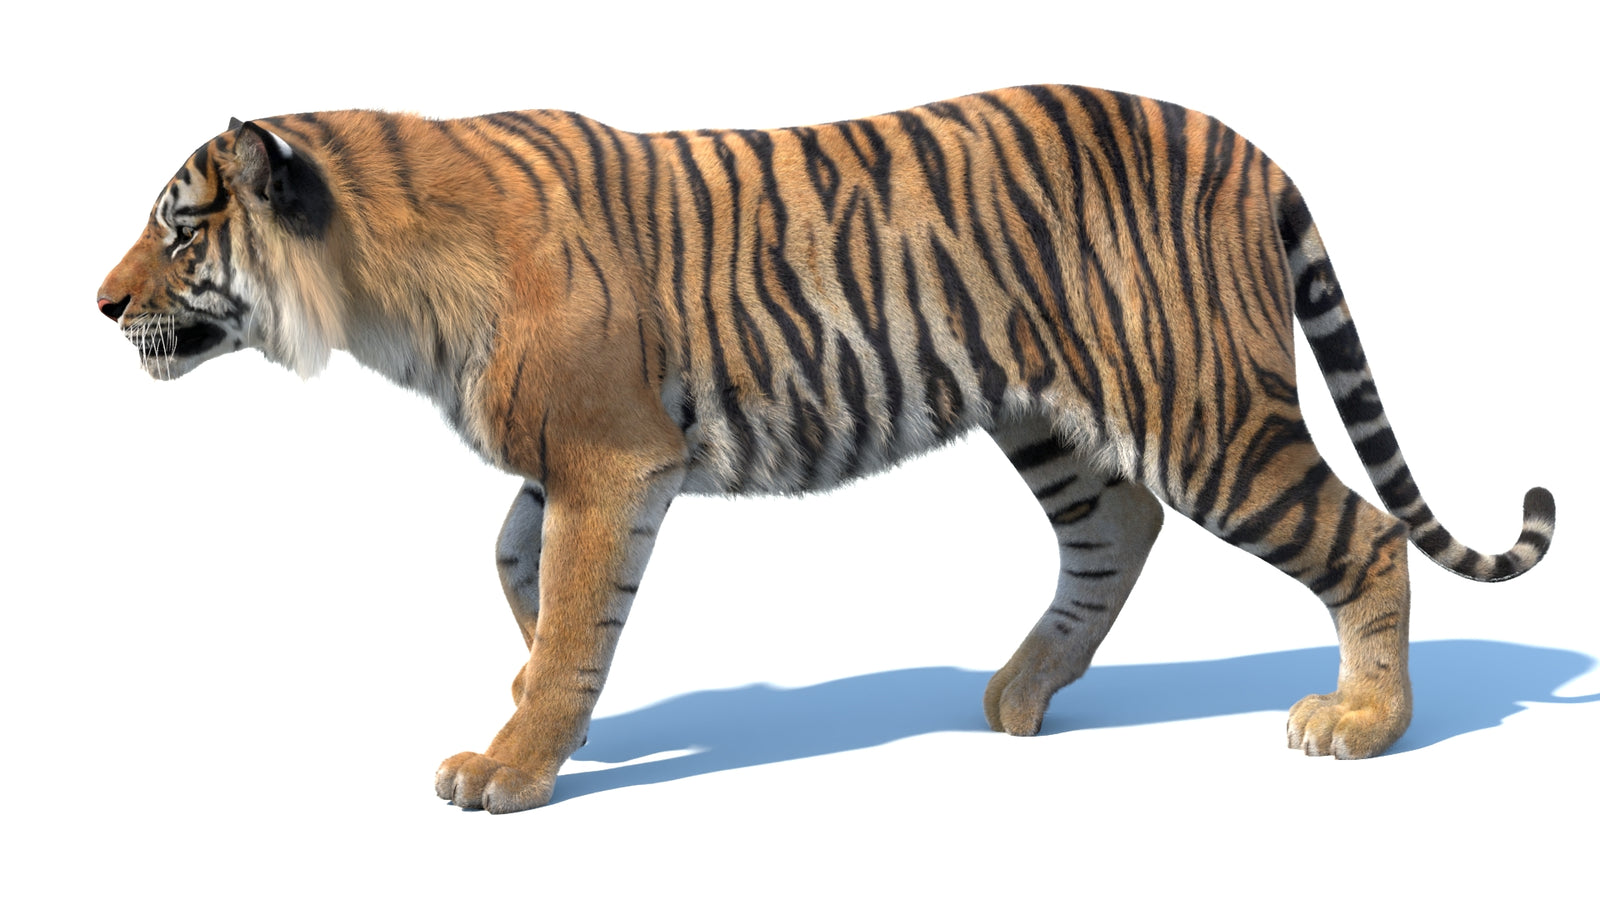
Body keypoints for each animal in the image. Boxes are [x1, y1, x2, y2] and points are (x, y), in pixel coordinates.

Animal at [98, 85, 1556, 813]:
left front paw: (511, 768)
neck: (375, 283)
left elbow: (566, 608)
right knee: (1115, 531)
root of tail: (1250, 148)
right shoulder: (570, 463)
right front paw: (549, 710)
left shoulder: (613, 457)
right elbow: (524, 572)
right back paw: (1019, 696)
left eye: (177, 228)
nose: (100, 306)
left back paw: (1362, 724)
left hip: (1200, 405)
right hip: (1046, 413)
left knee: (1361, 533)